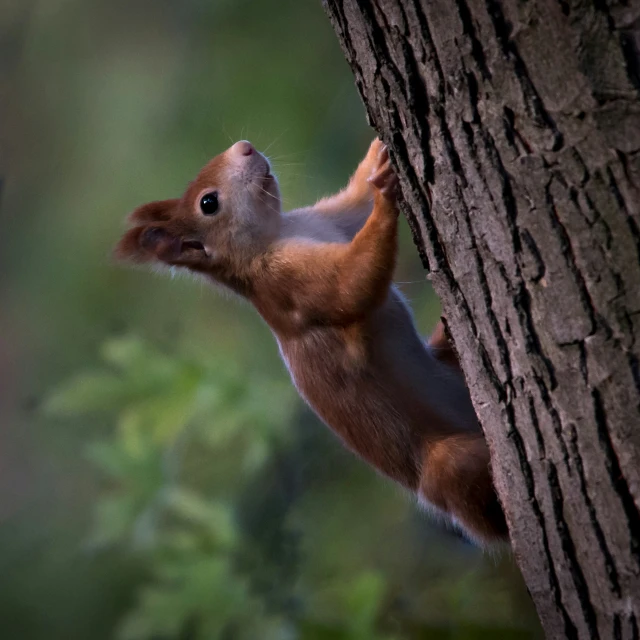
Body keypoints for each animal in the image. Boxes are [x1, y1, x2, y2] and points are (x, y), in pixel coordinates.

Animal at [112, 139, 508, 544]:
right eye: (208, 203)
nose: (245, 146)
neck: (279, 232)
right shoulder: (287, 286)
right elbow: (347, 286)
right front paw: (384, 194)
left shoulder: (325, 218)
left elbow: (354, 202)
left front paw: (378, 153)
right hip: (448, 465)